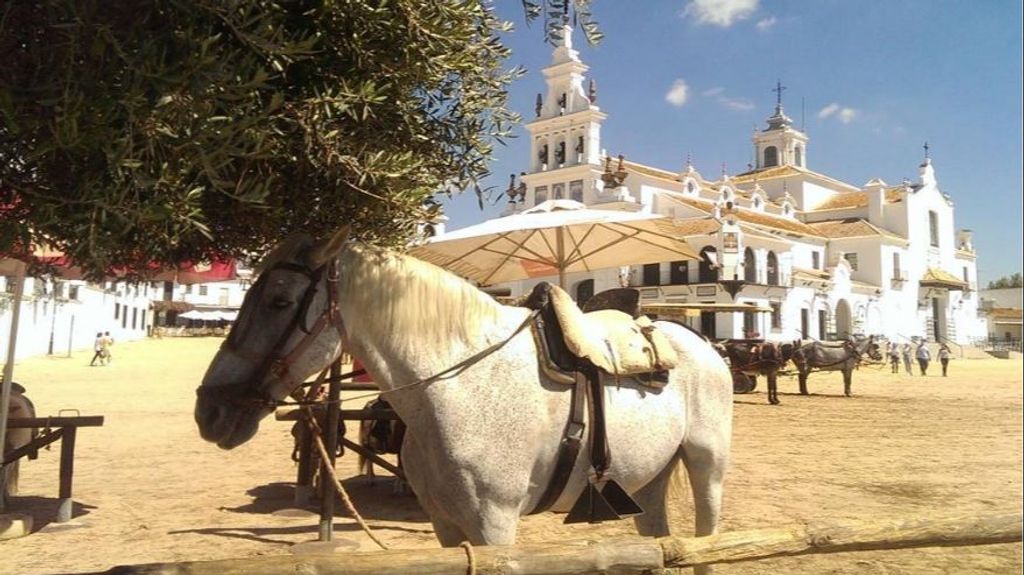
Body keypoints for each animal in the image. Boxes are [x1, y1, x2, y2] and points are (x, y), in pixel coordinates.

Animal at [195, 230, 733, 568]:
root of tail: (702, 344)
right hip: (648, 481)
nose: (210, 411)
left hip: (706, 467)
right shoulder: (445, 524)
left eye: (280, 301)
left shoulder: (495, 524)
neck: (457, 386)